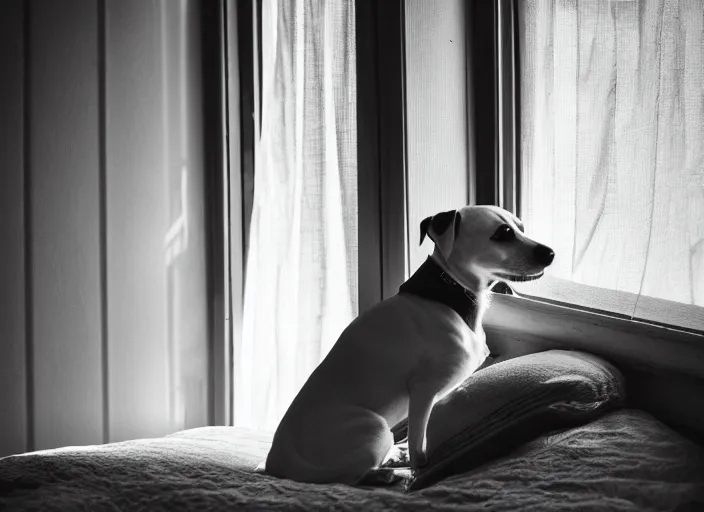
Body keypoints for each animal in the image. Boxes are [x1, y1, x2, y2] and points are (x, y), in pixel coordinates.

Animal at [264, 204, 556, 484]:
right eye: (502, 233)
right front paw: (417, 468)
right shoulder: (423, 391)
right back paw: (389, 473)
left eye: (520, 227)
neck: (448, 295)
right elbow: (418, 445)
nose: (550, 253)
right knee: (350, 476)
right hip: (375, 426)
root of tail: (277, 465)